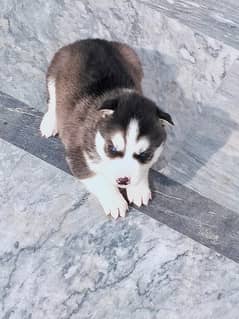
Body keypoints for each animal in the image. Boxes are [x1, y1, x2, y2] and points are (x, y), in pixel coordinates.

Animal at [40, 38, 173, 219]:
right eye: (112, 148)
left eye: (145, 154)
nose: (123, 181)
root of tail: (92, 40)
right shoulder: (78, 155)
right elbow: (99, 180)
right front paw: (115, 201)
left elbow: (143, 168)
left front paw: (138, 189)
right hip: (55, 69)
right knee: (53, 98)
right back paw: (50, 122)